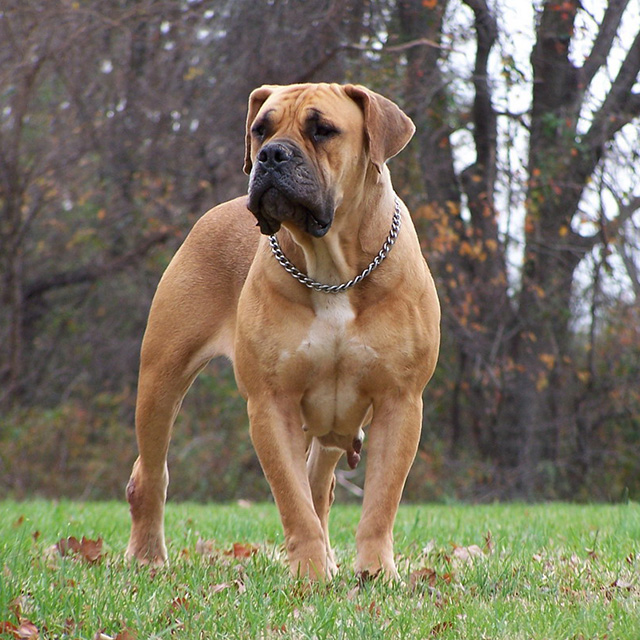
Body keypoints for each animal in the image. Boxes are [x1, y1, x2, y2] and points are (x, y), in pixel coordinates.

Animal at [127, 81, 442, 580]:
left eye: (323, 129)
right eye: (261, 128)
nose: (271, 155)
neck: (332, 269)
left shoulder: (400, 401)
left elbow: (379, 502)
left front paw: (375, 573)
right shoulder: (271, 403)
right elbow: (293, 500)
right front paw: (310, 573)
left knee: (320, 485)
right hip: (162, 378)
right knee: (151, 472)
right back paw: (147, 556)